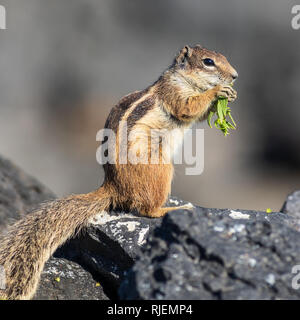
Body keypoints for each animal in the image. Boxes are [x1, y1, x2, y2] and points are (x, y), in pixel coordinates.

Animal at [0, 45, 239, 300]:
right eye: (208, 62)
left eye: (223, 57)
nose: (235, 76)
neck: (184, 78)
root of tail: (113, 186)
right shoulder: (174, 93)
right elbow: (188, 107)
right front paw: (217, 91)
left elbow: (198, 115)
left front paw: (230, 95)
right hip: (160, 169)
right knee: (147, 210)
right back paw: (173, 209)